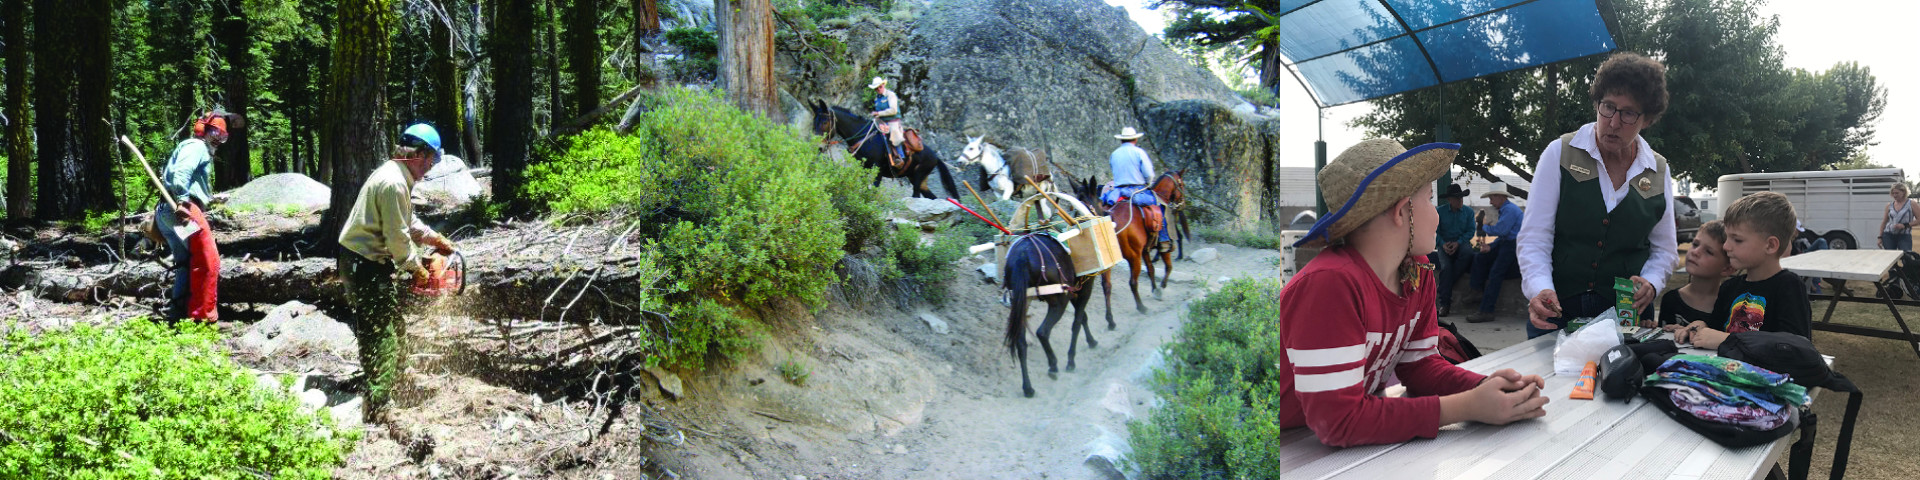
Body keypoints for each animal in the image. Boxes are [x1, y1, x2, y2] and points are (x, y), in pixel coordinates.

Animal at [806, 99, 960, 198]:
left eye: (825, 121)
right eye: (814, 122)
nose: (819, 146)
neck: (865, 138)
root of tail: (936, 157)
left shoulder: (877, 170)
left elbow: (873, 191)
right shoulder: (862, 168)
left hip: (918, 177)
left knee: (917, 196)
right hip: (919, 180)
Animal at [998, 232, 1105, 397]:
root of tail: (1022, 255)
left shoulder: (1073, 291)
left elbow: (1083, 318)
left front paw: (1091, 341)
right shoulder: (1085, 286)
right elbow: (1077, 322)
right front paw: (1071, 361)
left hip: (1022, 301)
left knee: (1021, 343)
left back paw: (1028, 388)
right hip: (1058, 300)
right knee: (1043, 332)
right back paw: (1053, 366)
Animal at [1082, 170, 1182, 312]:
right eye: (1182, 183)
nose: (1182, 202)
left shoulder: (1144, 250)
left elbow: (1151, 269)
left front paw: (1154, 288)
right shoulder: (1162, 245)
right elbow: (1168, 266)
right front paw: (1161, 288)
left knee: (1107, 285)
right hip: (1133, 256)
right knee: (1133, 282)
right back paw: (1141, 307)